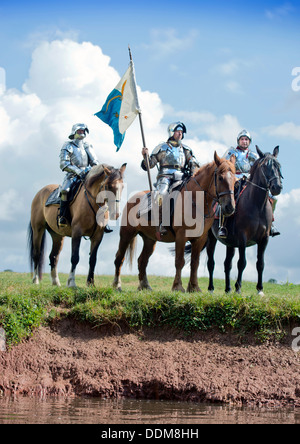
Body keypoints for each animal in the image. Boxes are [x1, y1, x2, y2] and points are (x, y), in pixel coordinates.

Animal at [112, 151, 237, 294]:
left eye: (235, 180)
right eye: (220, 178)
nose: (230, 207)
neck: (195, 200)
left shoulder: (200, 238)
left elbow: (195, 263)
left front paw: (194, 287)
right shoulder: (181, 236)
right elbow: (179, 261)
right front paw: (177, 286)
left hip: (150, 239)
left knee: (142, 261)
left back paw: (145, 285)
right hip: (126, 234)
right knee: (119, 258)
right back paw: (117, 285)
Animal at [206, 146, 284, 294]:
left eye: (278, 165)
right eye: (265, 166)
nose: (277, 187)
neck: (257, 206)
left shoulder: (264, 239)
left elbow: (260, 263)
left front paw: (260, 290)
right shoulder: (243, 238)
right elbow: (242, 263)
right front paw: (238, 288)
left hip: (230, 243)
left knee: (227, 264)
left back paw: (227, 289)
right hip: (211, 238)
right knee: (211, 262)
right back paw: (211, 288)